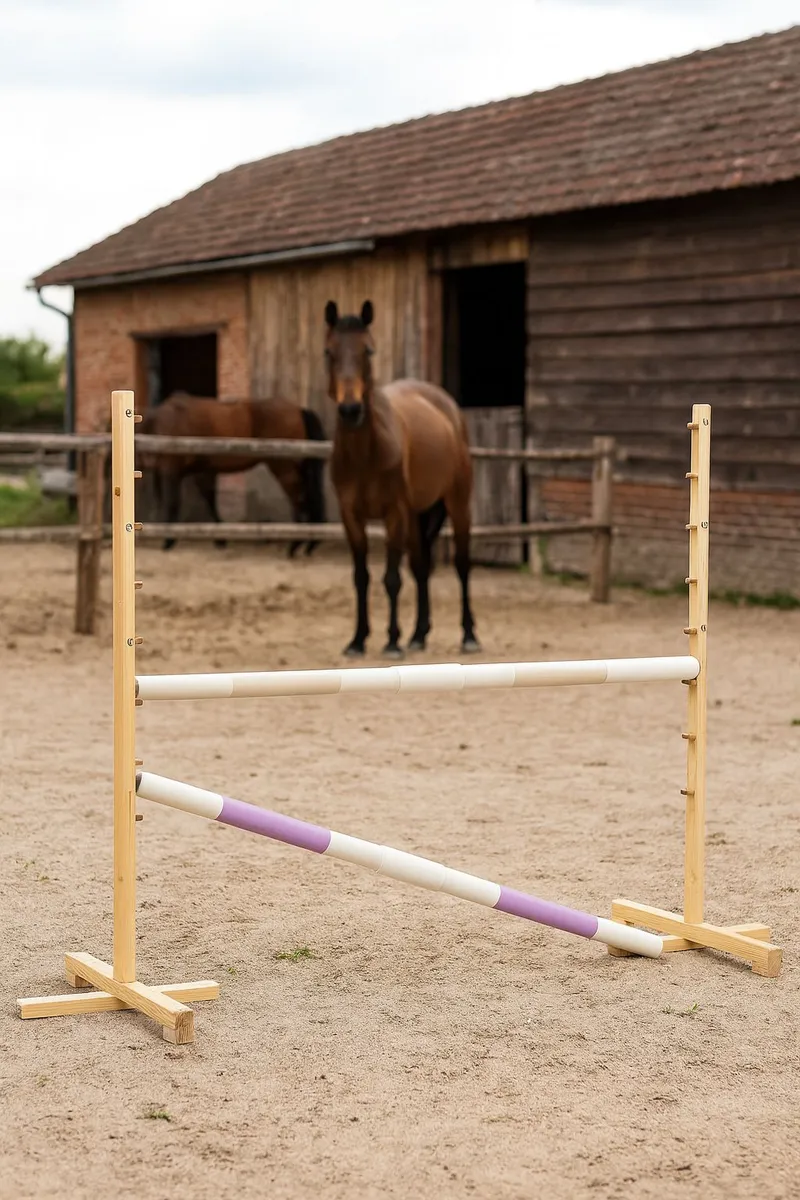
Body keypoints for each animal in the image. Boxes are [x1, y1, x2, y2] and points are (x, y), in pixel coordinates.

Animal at [136, 392, 327, 556]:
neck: (162, 424)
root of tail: (299, 409)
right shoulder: (202, 472)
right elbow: (210, 500)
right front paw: (220, 539)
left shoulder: (171, 472)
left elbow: (172, 503)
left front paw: (168, 541)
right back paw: (309, 543)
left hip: (284, 469)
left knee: (298, 501)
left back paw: (295, 545)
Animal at [324, 299, 479, 658]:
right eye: (329, 352)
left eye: (368, 350)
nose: (350, 410)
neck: (366, 453)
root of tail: (447, 406)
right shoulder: (351, 516)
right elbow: (362, 576)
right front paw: (358, 640)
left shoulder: (393, 512)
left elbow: (391, 577)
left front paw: (392, 641)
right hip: (417, 514)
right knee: (421, 565)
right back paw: (419, 636)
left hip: (456, 504)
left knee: (462, 564)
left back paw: (468, 636)